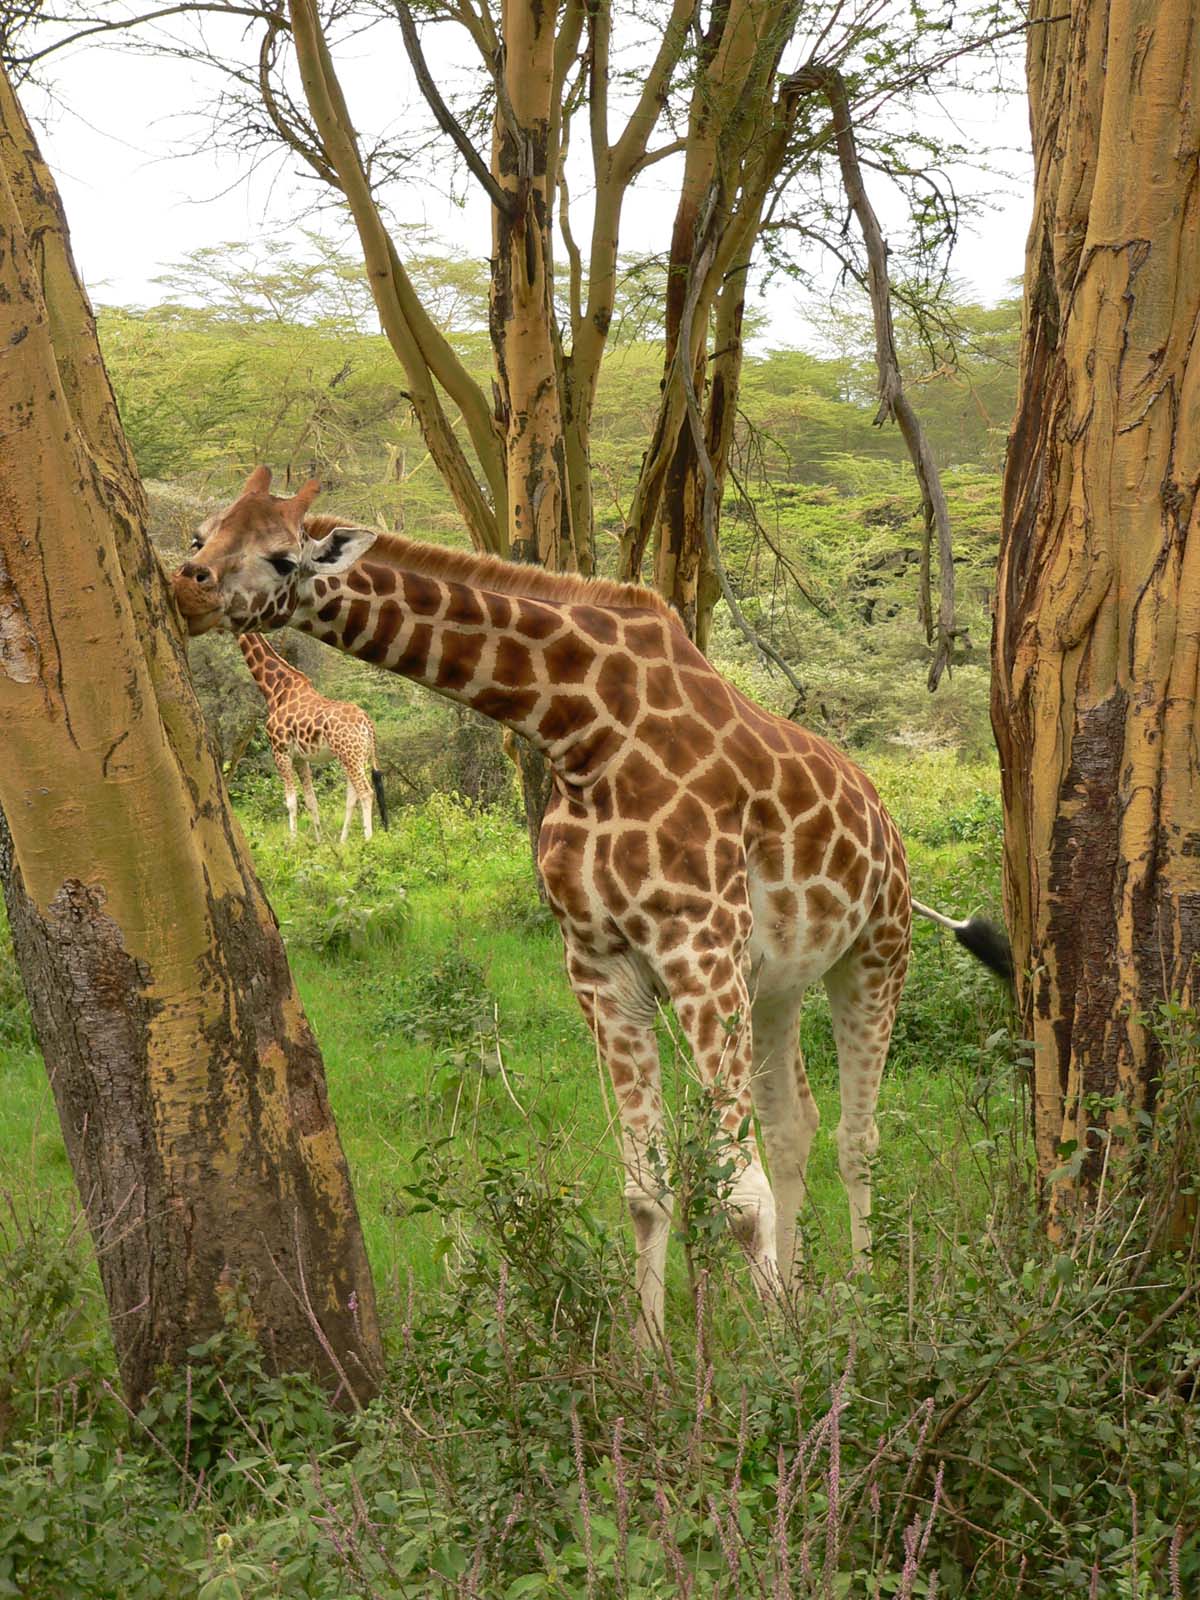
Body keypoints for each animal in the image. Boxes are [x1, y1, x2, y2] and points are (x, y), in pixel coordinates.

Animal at [233, 630, 385, 844]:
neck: (275, 689)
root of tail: (367, 722)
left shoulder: (280, 751)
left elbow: (291, 801)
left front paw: (292, 842)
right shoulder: (300, 758)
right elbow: (311, 799)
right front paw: (319, 840)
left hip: (350, 755)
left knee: (366, 792)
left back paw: (368, 840)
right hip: (357, 756)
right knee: (352, 796)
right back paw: (342, 841)